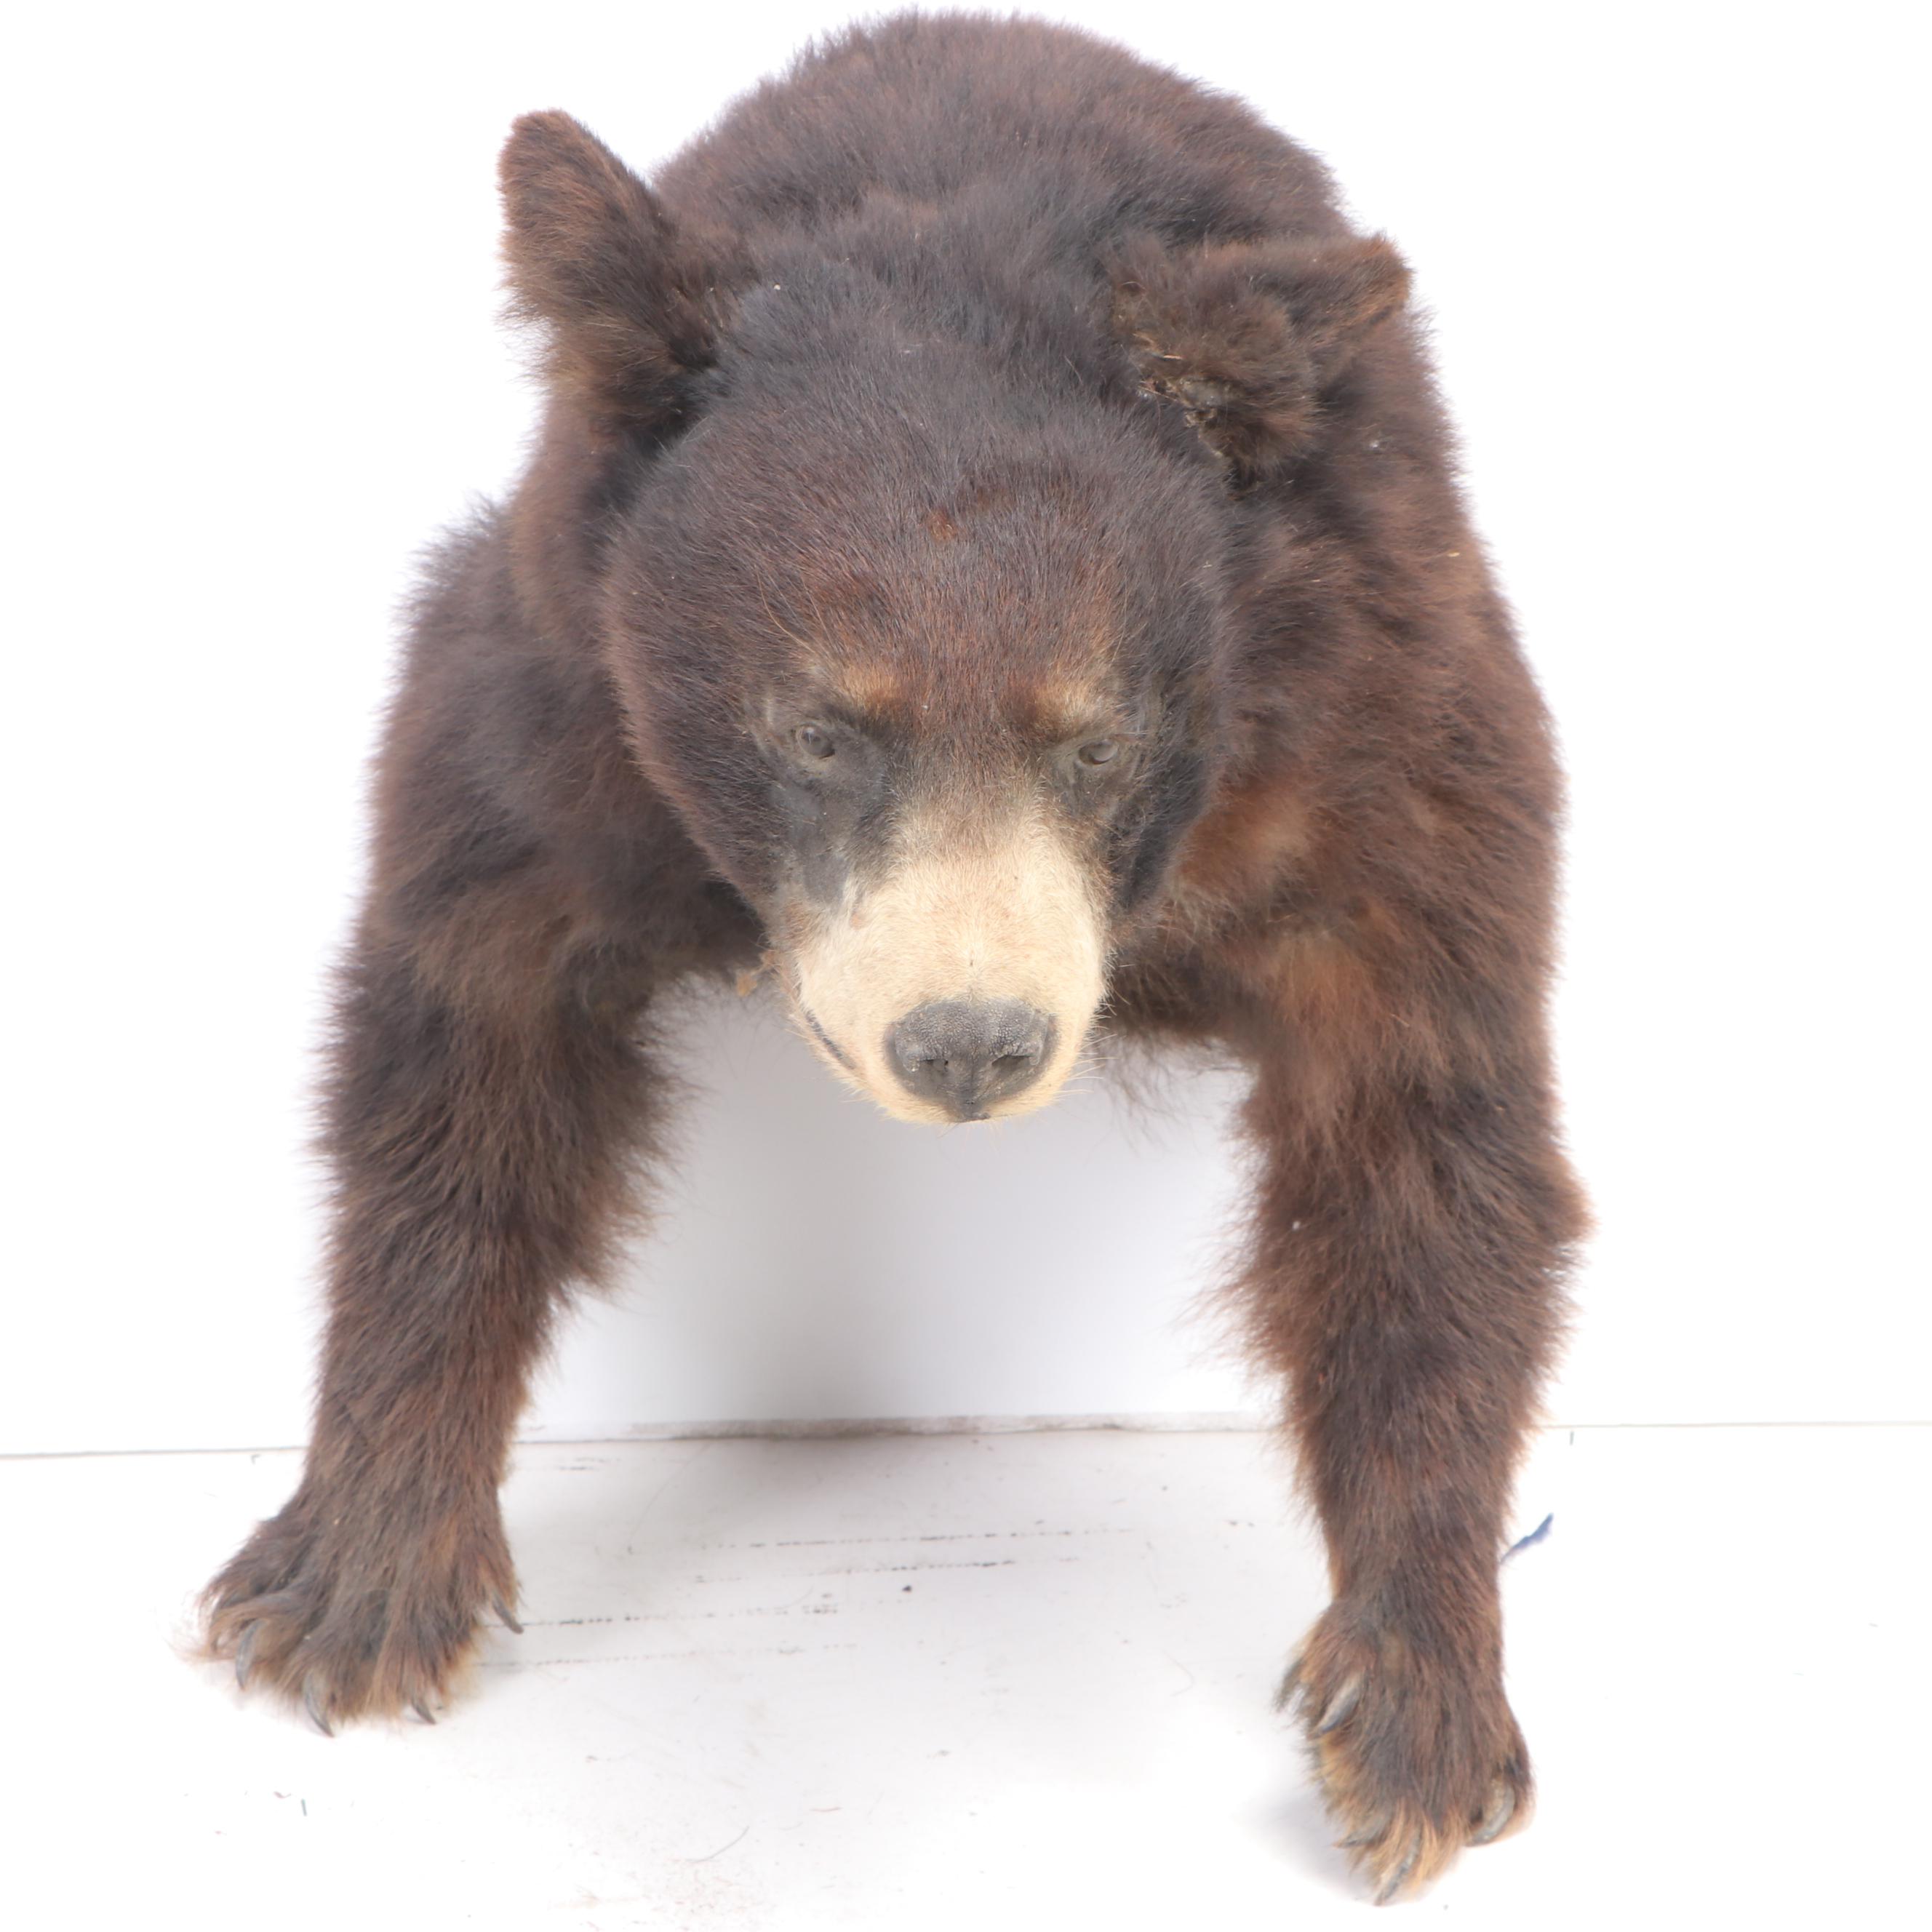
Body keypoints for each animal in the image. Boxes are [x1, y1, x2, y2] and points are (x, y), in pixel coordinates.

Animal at [198, 10, 1586, 1905]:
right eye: (820, 728)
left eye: (1095, 735)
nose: (968, 1041)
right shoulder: (557, 716)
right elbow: (464, 1056)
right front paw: (347, 1582)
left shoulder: (1385, 751)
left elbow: (1422, 1153)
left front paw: (1415, 1712)